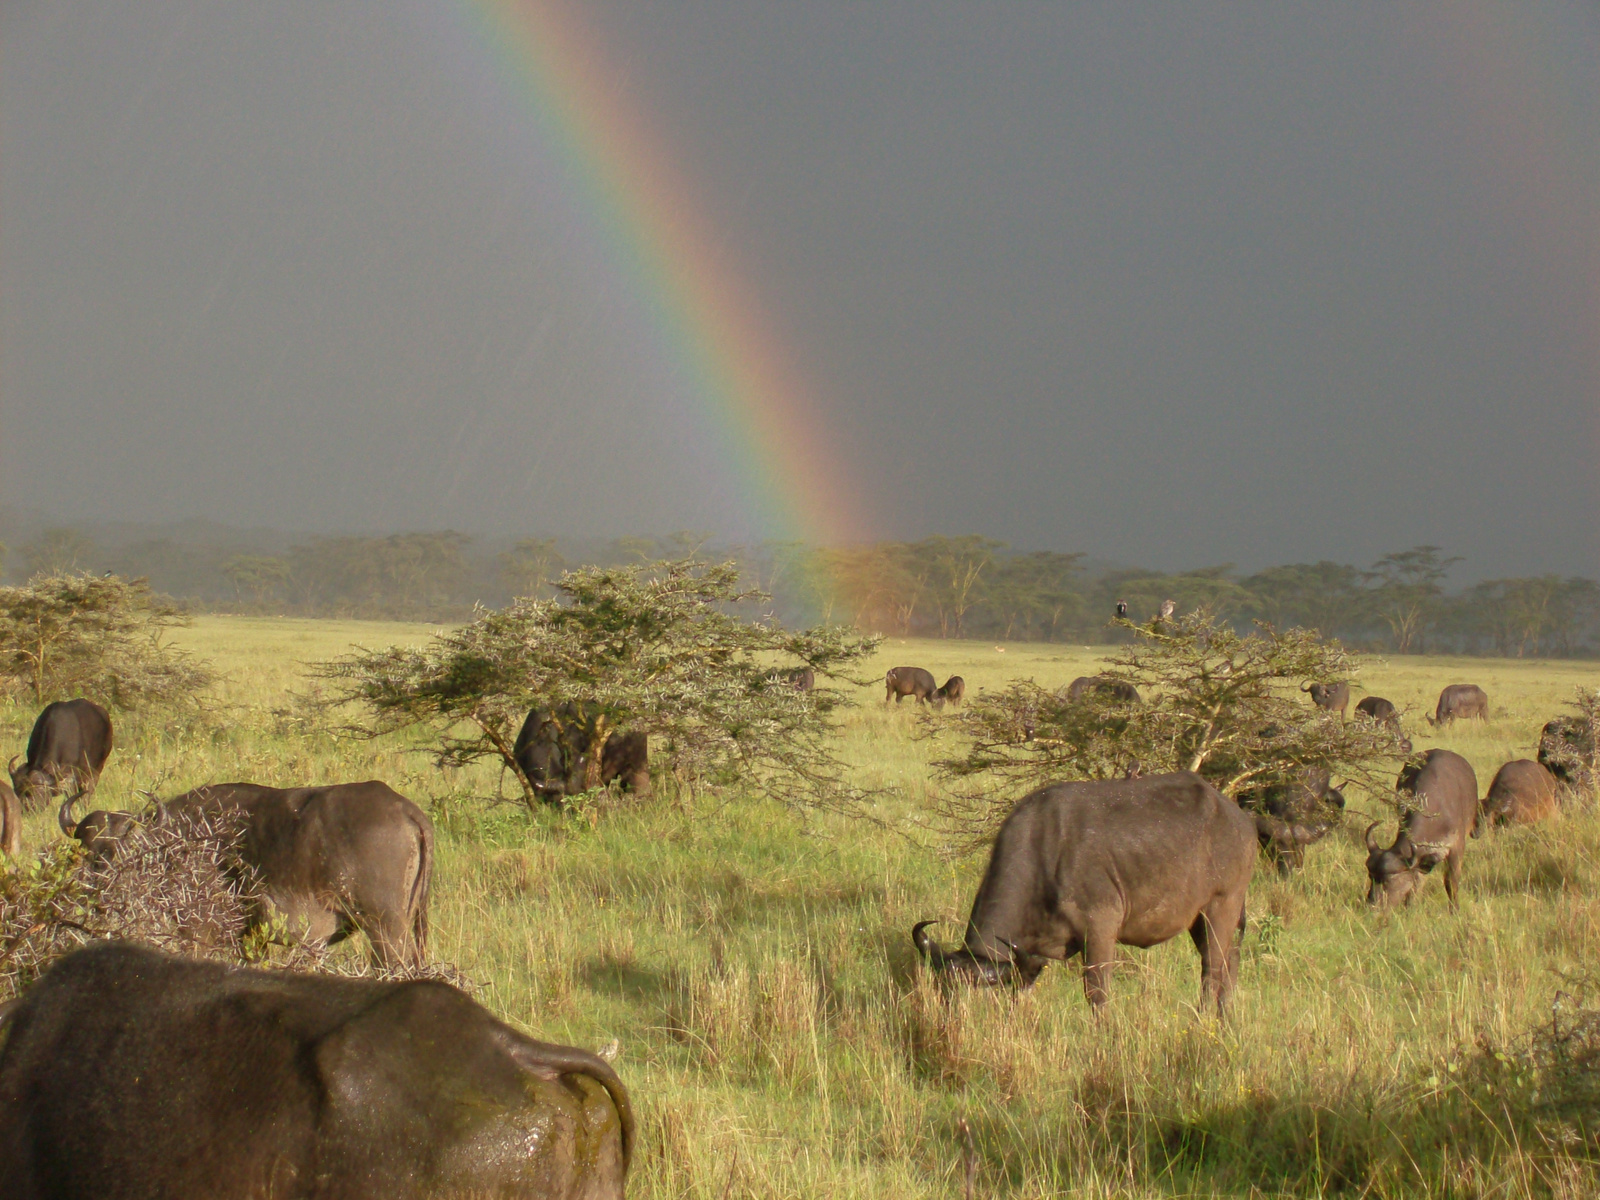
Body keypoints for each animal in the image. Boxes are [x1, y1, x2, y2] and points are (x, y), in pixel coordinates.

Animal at [915, 771, 1260, 1017]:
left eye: (983, 1000)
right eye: (944, 993)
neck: (1046, 853)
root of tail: (1239, 819)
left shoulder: (1100, 931)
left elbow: (1097, 994)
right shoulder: (1032, 957)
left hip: (1221, 905)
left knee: (1212, 969)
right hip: (1200, 919)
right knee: (1230, 961)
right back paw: (1225, 1019)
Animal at [1369, 752, 1478, 908]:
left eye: (1388, 881)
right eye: (1370, 876)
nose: (1372, 905)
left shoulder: (1456, 848)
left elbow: (1451, 883)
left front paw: (1455, 909)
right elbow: (1416, 882)